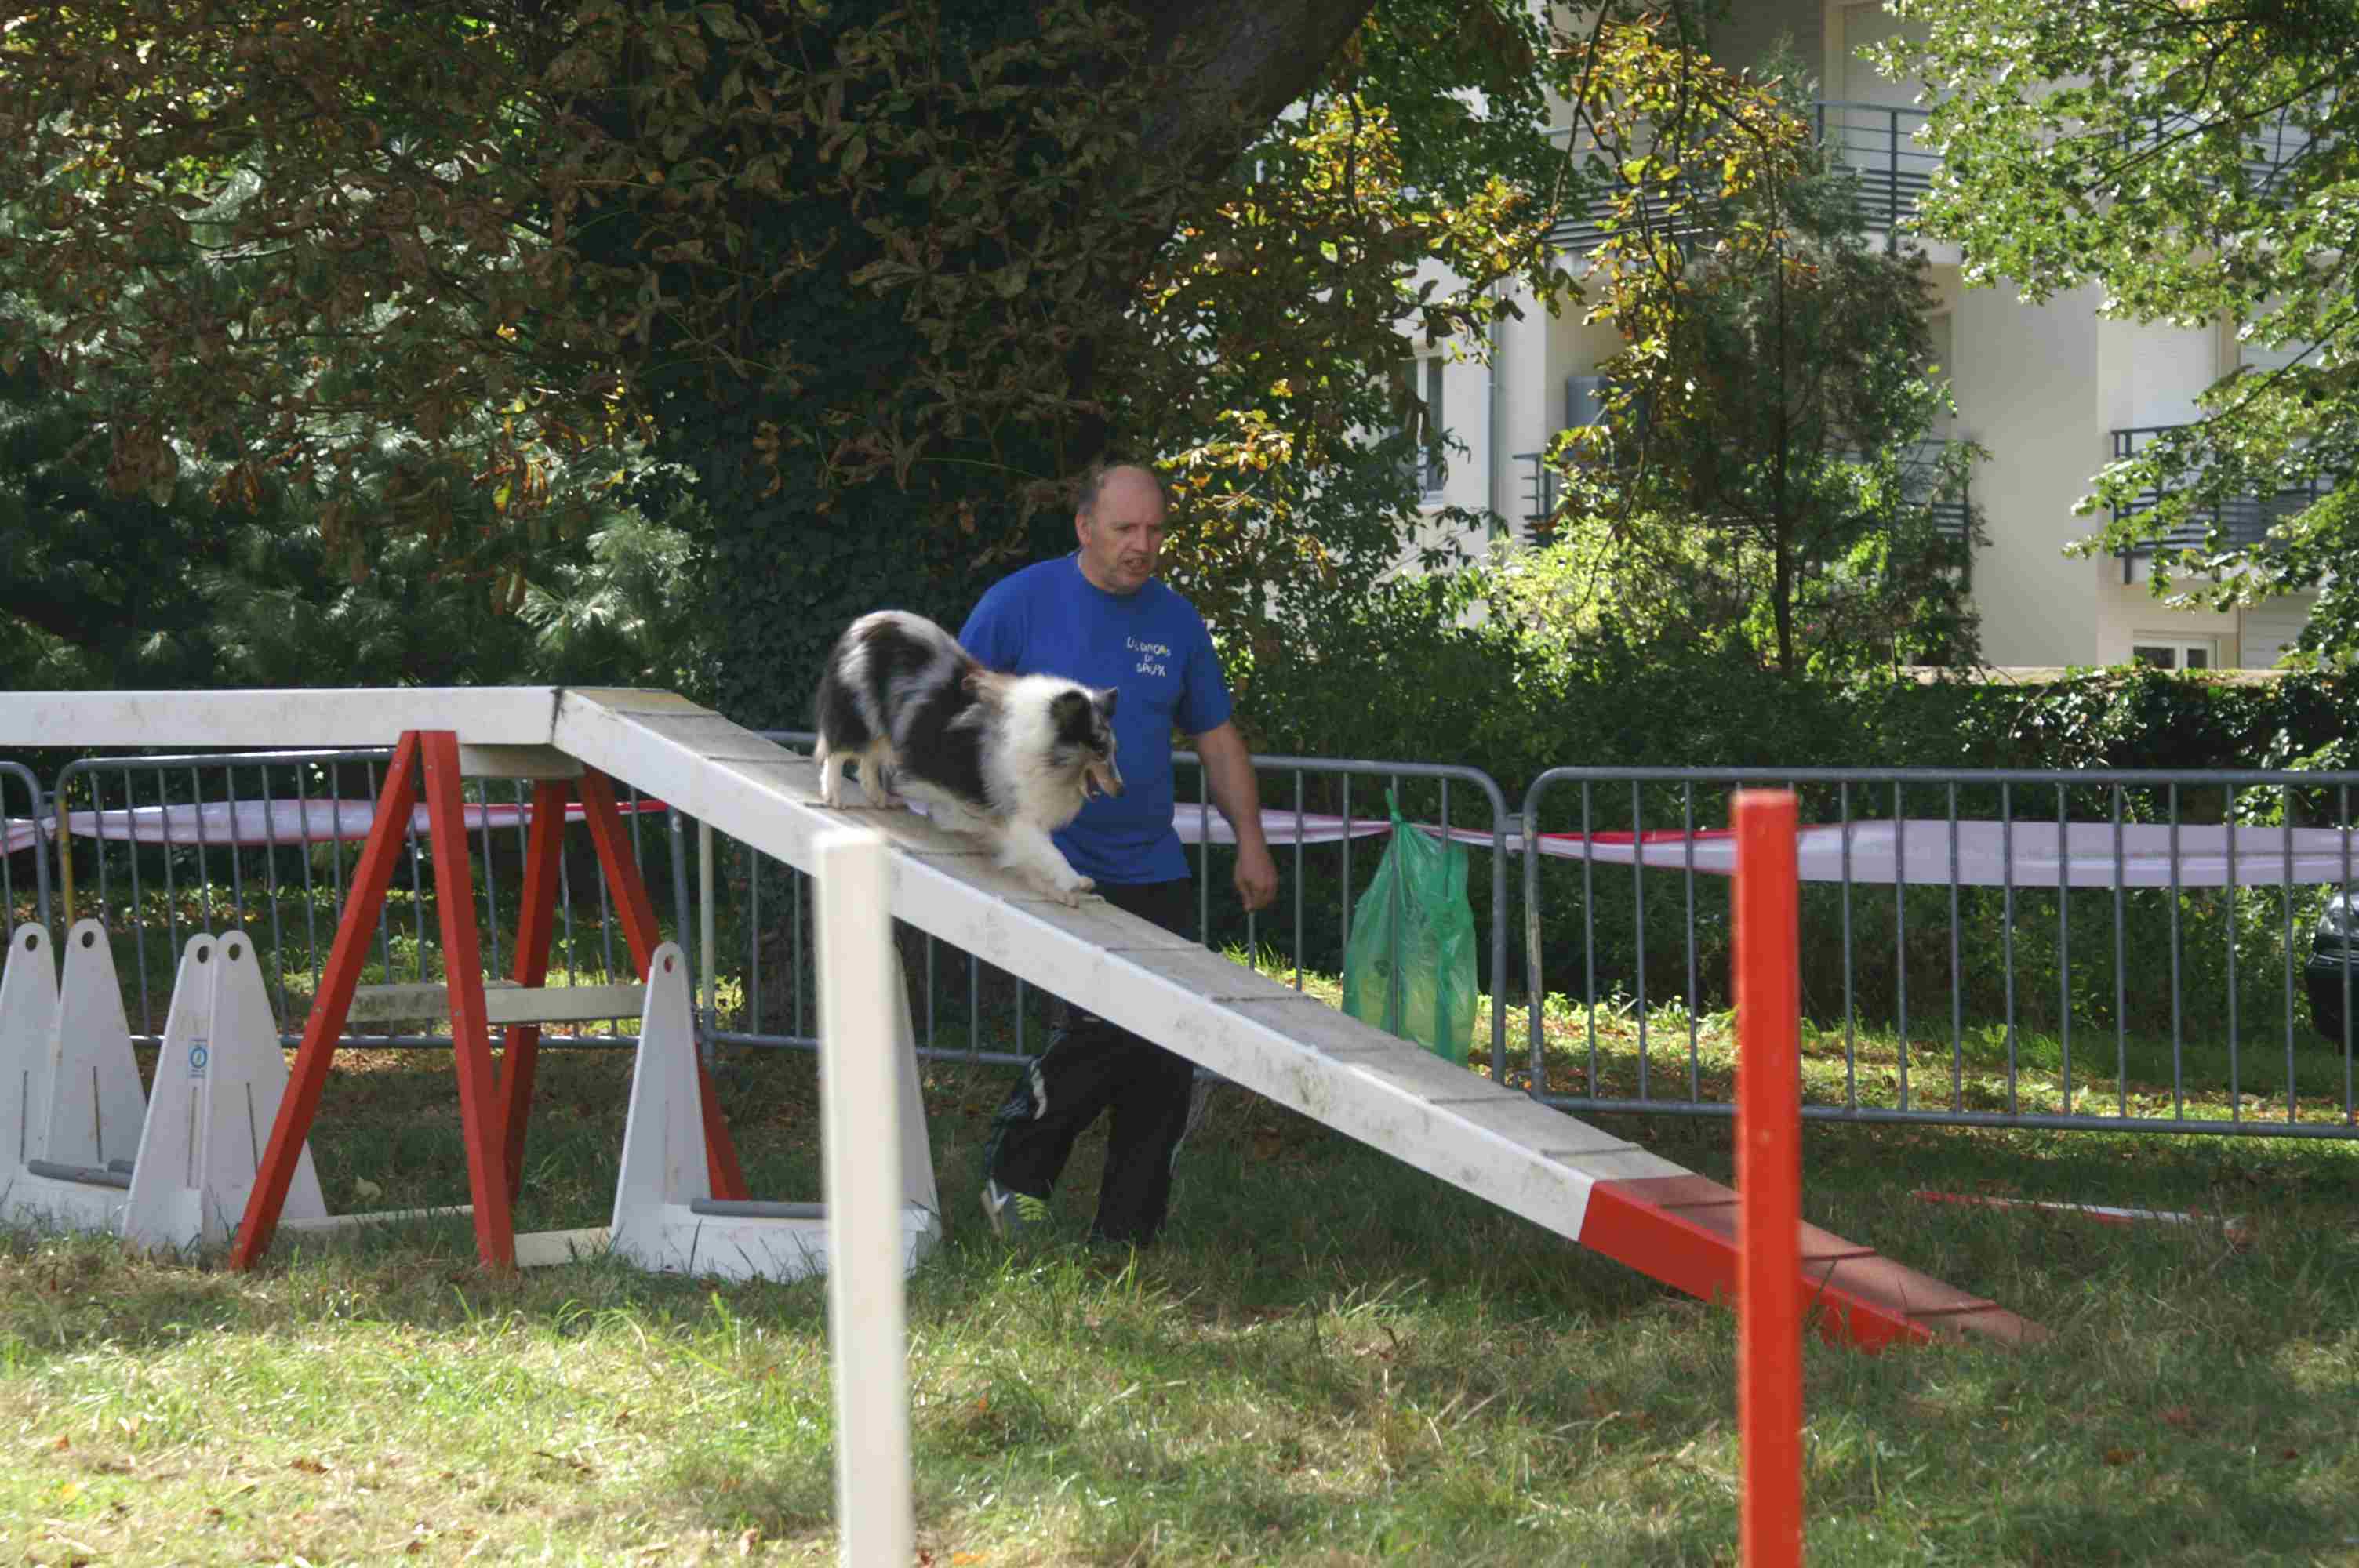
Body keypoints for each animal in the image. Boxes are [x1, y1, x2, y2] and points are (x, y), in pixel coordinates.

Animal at [811, 610, 1122, 905]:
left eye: (1112, 750)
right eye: (1099, 750)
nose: (1121, 789)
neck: (1043, 742)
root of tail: (867, 622)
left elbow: (1033, 859)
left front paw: (1059, 891)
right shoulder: (1016, 815)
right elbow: (1049, 852)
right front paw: (1076, 882)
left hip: (885, 730)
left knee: (868, 763)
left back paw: (882, 799)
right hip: (861, 715)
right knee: (839, 753)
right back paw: (834, 796)